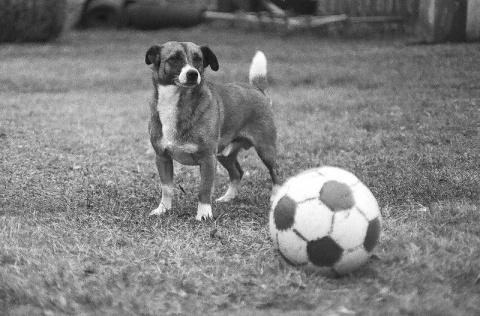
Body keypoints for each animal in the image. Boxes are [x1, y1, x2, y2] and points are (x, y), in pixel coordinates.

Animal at [144, 41, 280, 220]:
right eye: (174, 58)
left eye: (198, 59)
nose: (193, 74)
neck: (176, 103)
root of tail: (257, 90)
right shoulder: (162, 158)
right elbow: (167, 188)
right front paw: (163, 209)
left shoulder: (208, 158)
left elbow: (204, 188)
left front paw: (203, 214)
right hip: (224, 155)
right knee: (237, 173)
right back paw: (228, 197)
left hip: (265, 150)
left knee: (276, 172)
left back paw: (276, 197)